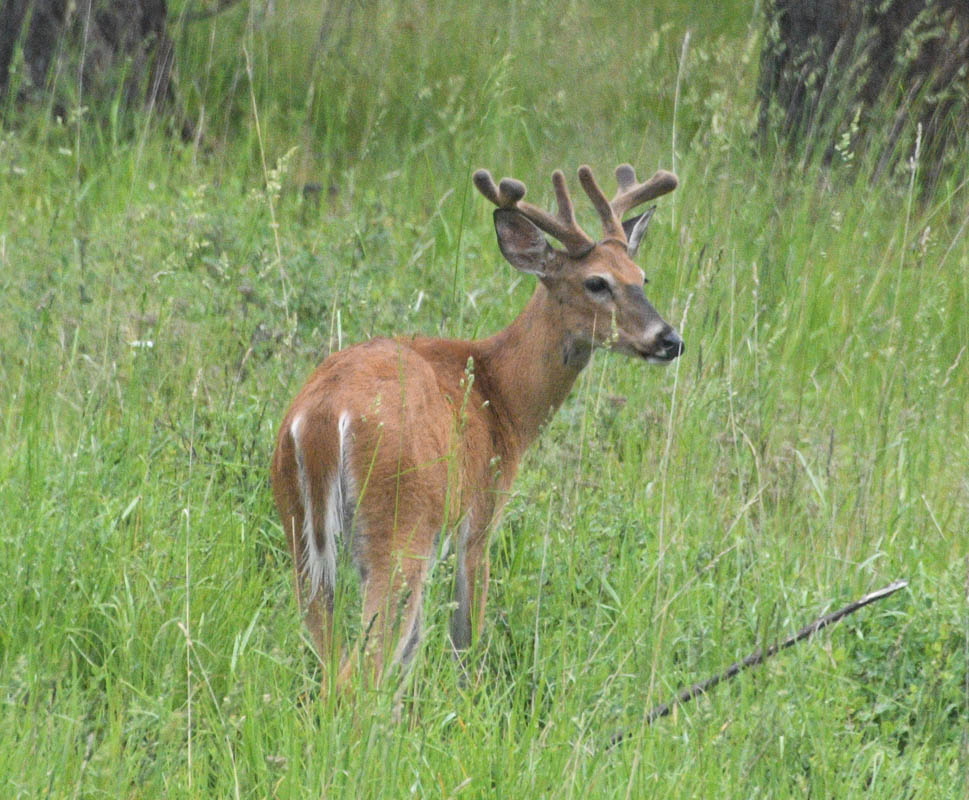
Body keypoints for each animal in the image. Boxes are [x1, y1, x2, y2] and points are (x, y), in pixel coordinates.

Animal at [270, 162, 684, 690]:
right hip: (400, 525)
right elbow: (465, 638)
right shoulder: (481, 515)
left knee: (330, 656)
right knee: (358, 668)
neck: (502, 398)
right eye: (597, 282)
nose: (669, 339)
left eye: (642, 276)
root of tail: (322, 416)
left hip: (299, 530)